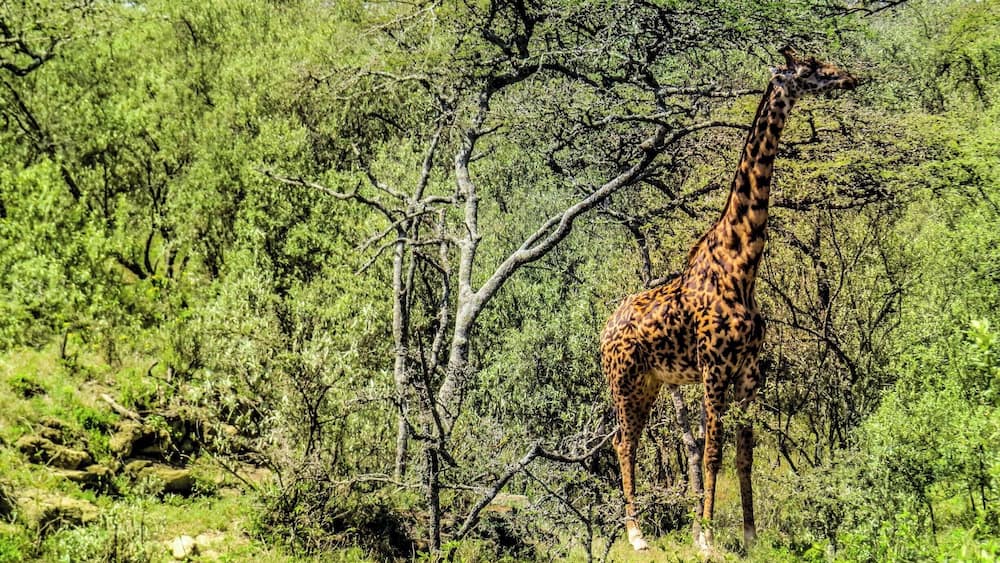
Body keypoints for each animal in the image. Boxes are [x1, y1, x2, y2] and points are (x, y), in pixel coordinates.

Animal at [601, 47, 857, 551]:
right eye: (812, 67)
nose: (851, 78)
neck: (742, 267)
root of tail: (603, 332)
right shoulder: (714, 369)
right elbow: (712, 453)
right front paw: (705, 537)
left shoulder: (749, 375)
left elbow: (743, 454)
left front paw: (750, 535)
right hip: (624, 381)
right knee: (624, 442)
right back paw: (637, 534)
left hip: (652, 382)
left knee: (628, 440)